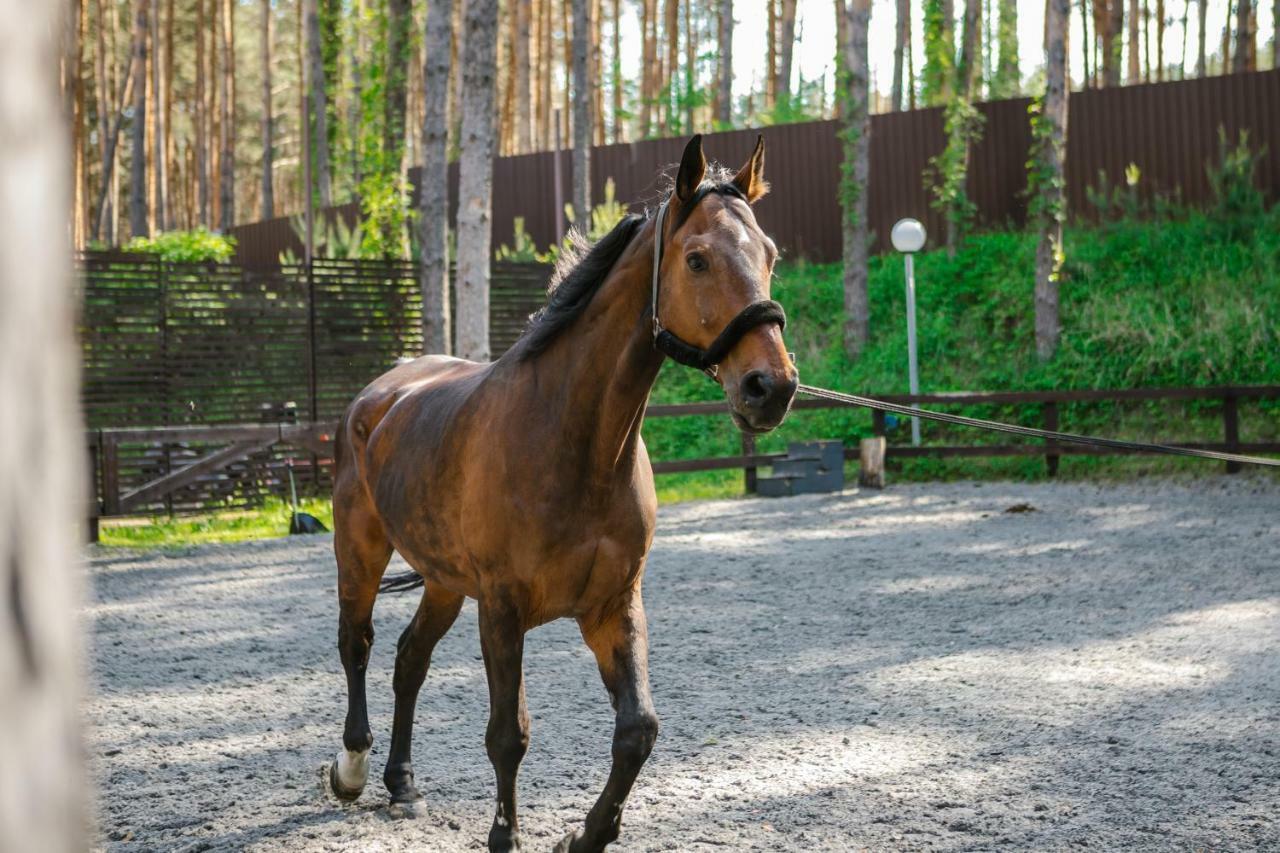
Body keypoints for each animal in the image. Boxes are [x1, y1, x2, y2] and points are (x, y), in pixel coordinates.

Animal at [327, 136, 788, 845]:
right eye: (697, 258)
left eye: (769, 255)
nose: (772, 387)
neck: (574, 446)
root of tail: (379, 393)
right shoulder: (502, 610)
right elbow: (507, 736)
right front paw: (505, 837)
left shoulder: (612, 608)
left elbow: (638, 730)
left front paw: (586, 835)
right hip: (361, 553)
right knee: (358, 645)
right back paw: (351, 769)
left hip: (444, 581)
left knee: (409, 660)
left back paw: (402, 783)